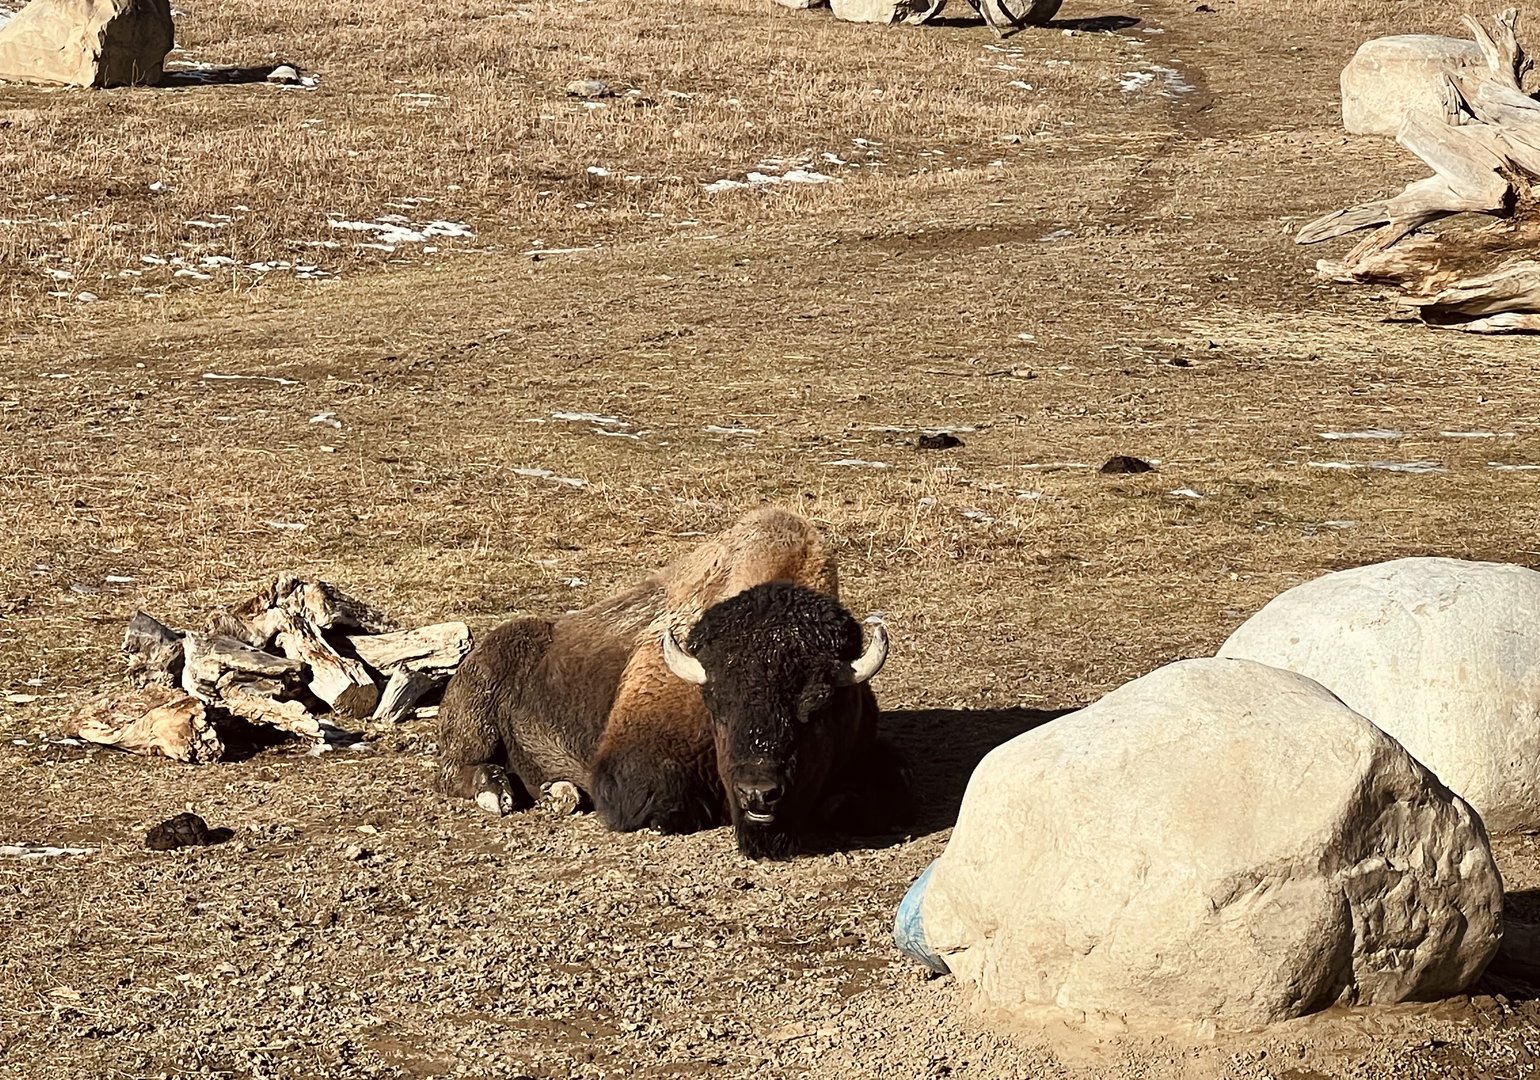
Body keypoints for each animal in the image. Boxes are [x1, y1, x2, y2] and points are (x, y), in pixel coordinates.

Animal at [437, 508, 912, 857]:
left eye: (818, 702)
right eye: (715, 701)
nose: (759, 795)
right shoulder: (629, 768)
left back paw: (561, 792)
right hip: (477, 720)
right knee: (458, 769)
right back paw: (498, 793)